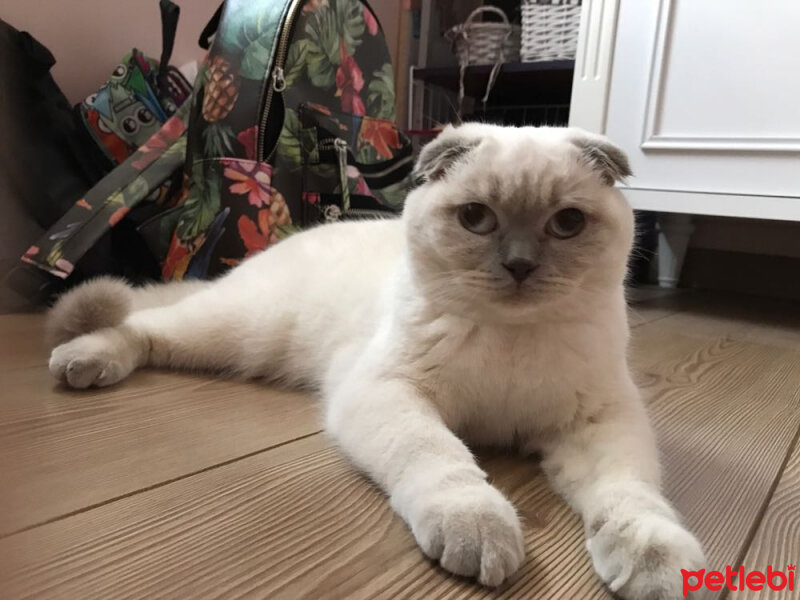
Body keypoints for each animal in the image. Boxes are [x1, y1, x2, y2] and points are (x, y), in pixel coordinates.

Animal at [45, 124, 708, 596]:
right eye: (476, 218)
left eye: (567, 223)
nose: (519, 265)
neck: (511, 339)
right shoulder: (390, 391)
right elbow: (443, 460)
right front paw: (479, 529)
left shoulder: (600, 422)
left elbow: (632, 497)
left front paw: (659, 567)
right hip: (233, 330)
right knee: (142, 326)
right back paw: (81, 362)